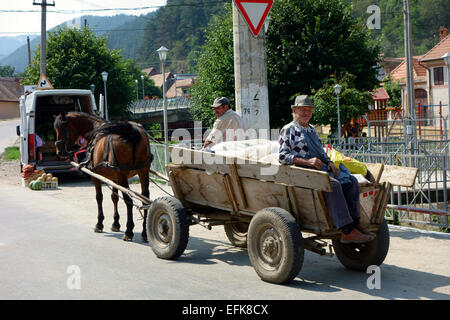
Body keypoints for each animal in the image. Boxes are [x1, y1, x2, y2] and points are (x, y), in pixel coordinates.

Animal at [53, 111, 153, 241]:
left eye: (62, 128)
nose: (59, 152)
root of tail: (132, 130)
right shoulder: (114, 177)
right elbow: (114, 197)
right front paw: (115, 223)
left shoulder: (95, 175)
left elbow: (99, 197)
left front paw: (99, 224)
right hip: (143, 171)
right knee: (145, 199)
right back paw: (145, 232)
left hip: (123, 175)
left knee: (128, 200)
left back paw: (129, 231)